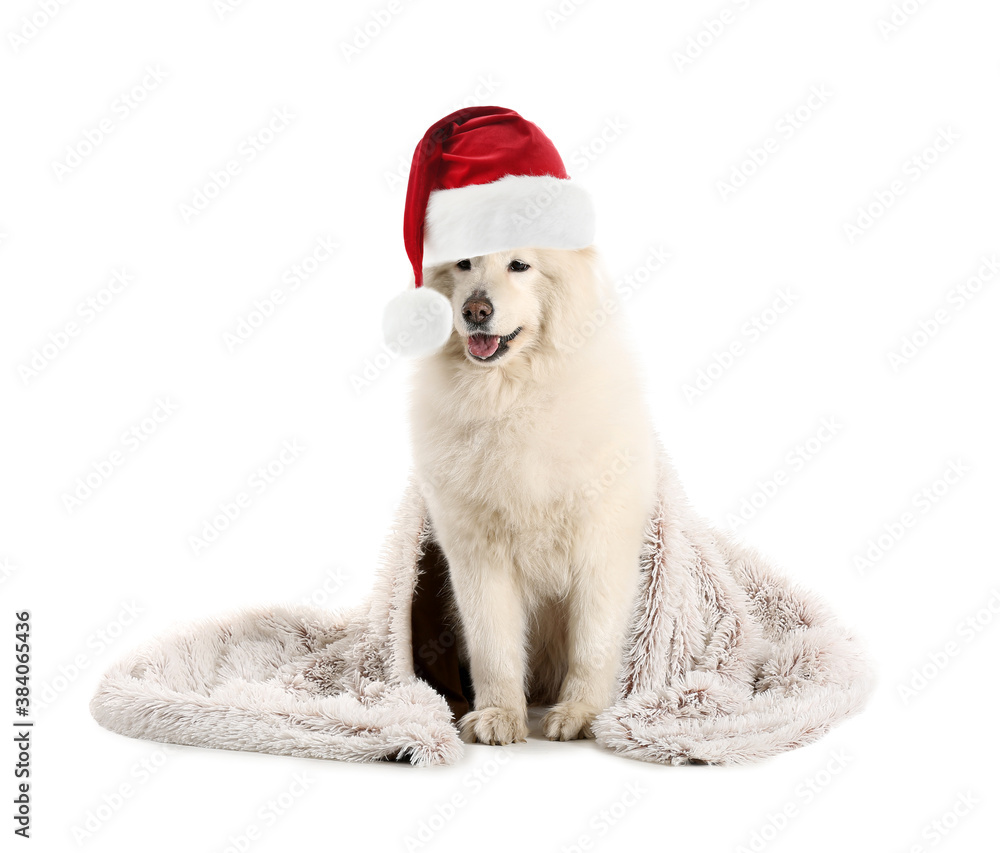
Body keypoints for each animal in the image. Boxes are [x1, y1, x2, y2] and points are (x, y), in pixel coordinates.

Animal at [406, 243, 656, 744]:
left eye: (519, 266)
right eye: (463, 262)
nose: (475, 311)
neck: (510, 398)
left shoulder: (603, 547)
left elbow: (592, 643)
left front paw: (581, 714)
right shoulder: (477, 557)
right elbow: (494, 646)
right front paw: (499, 715)